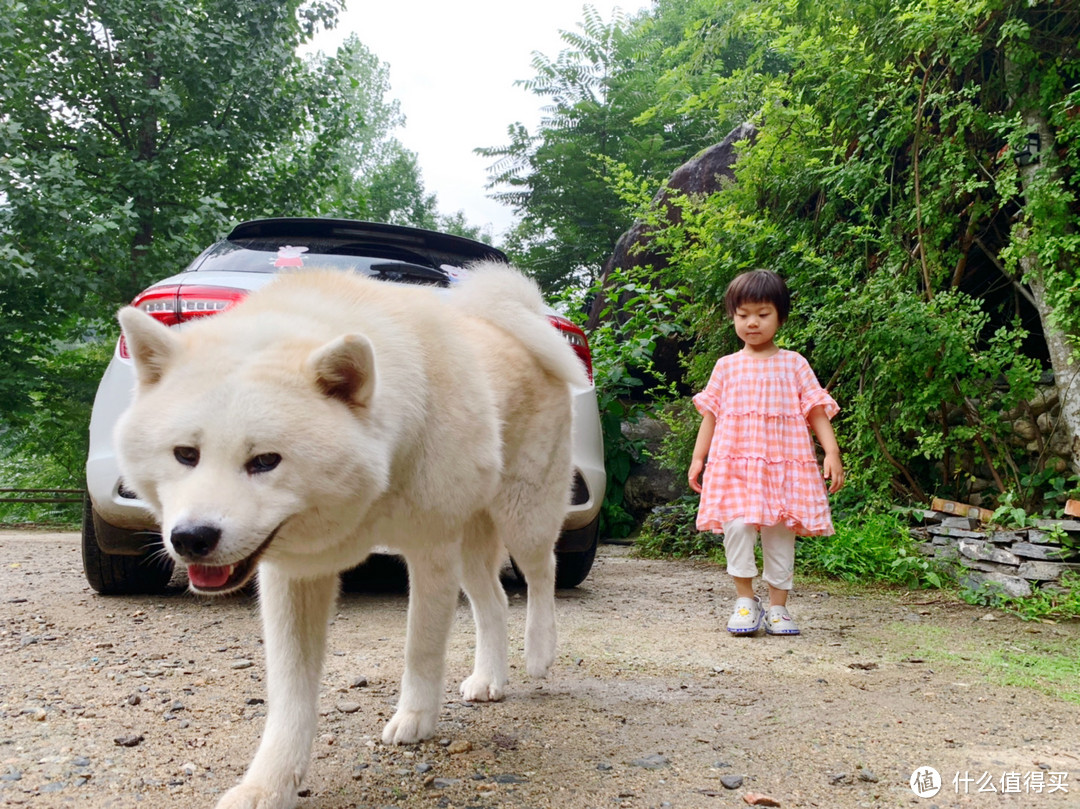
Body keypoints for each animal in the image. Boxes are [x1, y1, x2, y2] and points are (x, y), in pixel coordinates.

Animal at [113, 263, 587, 807]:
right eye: (185, 454)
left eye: (265, 461)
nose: (192, 538)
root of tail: (516, 323)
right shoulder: (296, 572)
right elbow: (291, 693)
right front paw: (268, 783)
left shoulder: (430, 549)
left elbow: (421, 647)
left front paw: (415, 718)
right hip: (470, 544)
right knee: (495, 603)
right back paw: (489, 678)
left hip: (522, 516)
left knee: (541, 574)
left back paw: (540, 652)